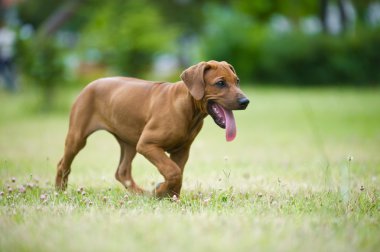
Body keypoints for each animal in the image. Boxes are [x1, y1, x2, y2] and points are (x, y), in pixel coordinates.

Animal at [54, 60, 249, 197]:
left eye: (237, 81)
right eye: (220, 83)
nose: (245, 101)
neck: (188, 109)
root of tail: (90, 84)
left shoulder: (182, 151)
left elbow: (177, 174)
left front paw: (171, 197)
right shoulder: (147, 144)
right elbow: (173, 171)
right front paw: (160, 191)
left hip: (129, 142)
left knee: (122, 172)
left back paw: (140, 194)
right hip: (78, 136)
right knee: (63, 164)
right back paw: (59, 191)